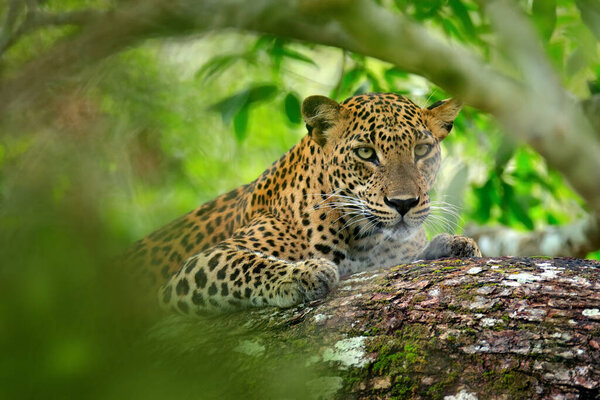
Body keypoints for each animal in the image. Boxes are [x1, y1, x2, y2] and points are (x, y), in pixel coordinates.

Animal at [123, 92, 482, 314]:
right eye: (366, 152)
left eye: (421, 150)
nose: (404, 203)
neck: (363, 238)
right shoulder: (196, 267)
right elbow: (243, 264)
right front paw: (301, 275)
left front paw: (453, 244)